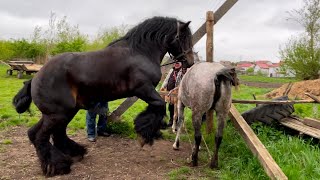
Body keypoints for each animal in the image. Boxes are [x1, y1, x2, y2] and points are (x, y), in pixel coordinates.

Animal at [12, 16, 194, 176]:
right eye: (183, 38)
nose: (190, 62)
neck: (140, 52)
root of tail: (35, 78)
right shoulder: (144, 89)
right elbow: (159, 105)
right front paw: (144, 134)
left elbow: (156, 108)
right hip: (58, 114)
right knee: (41, 136)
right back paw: (57, 166)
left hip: (60, 113)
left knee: (46, 133)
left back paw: (74, 153)